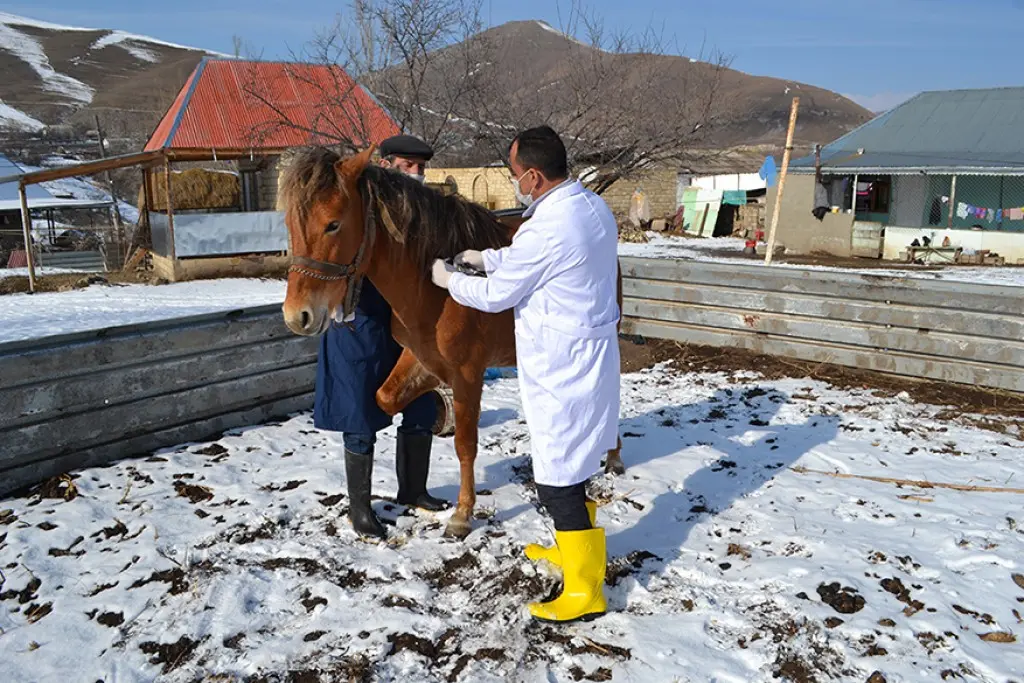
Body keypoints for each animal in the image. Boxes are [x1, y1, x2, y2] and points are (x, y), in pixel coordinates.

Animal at [276, 148, 618, 540]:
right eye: (290, 224)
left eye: (333, 224)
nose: (297, 316)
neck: (430, 290)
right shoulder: (418, 355)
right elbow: (387, 398)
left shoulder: (468, 373)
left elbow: (465, 444)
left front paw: (462, 513)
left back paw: (613, 457)